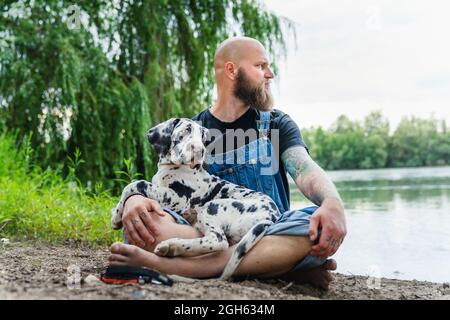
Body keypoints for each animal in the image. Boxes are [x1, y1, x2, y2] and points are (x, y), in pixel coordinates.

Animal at [110, 118, 280, 280]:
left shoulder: (177, 198)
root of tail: (272, 216)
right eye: (186, 130)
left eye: (203, 137)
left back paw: (172, 246)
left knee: (218, 241)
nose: (199, 150)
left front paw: (116, 217)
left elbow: (136, 184)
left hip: (212, 206)